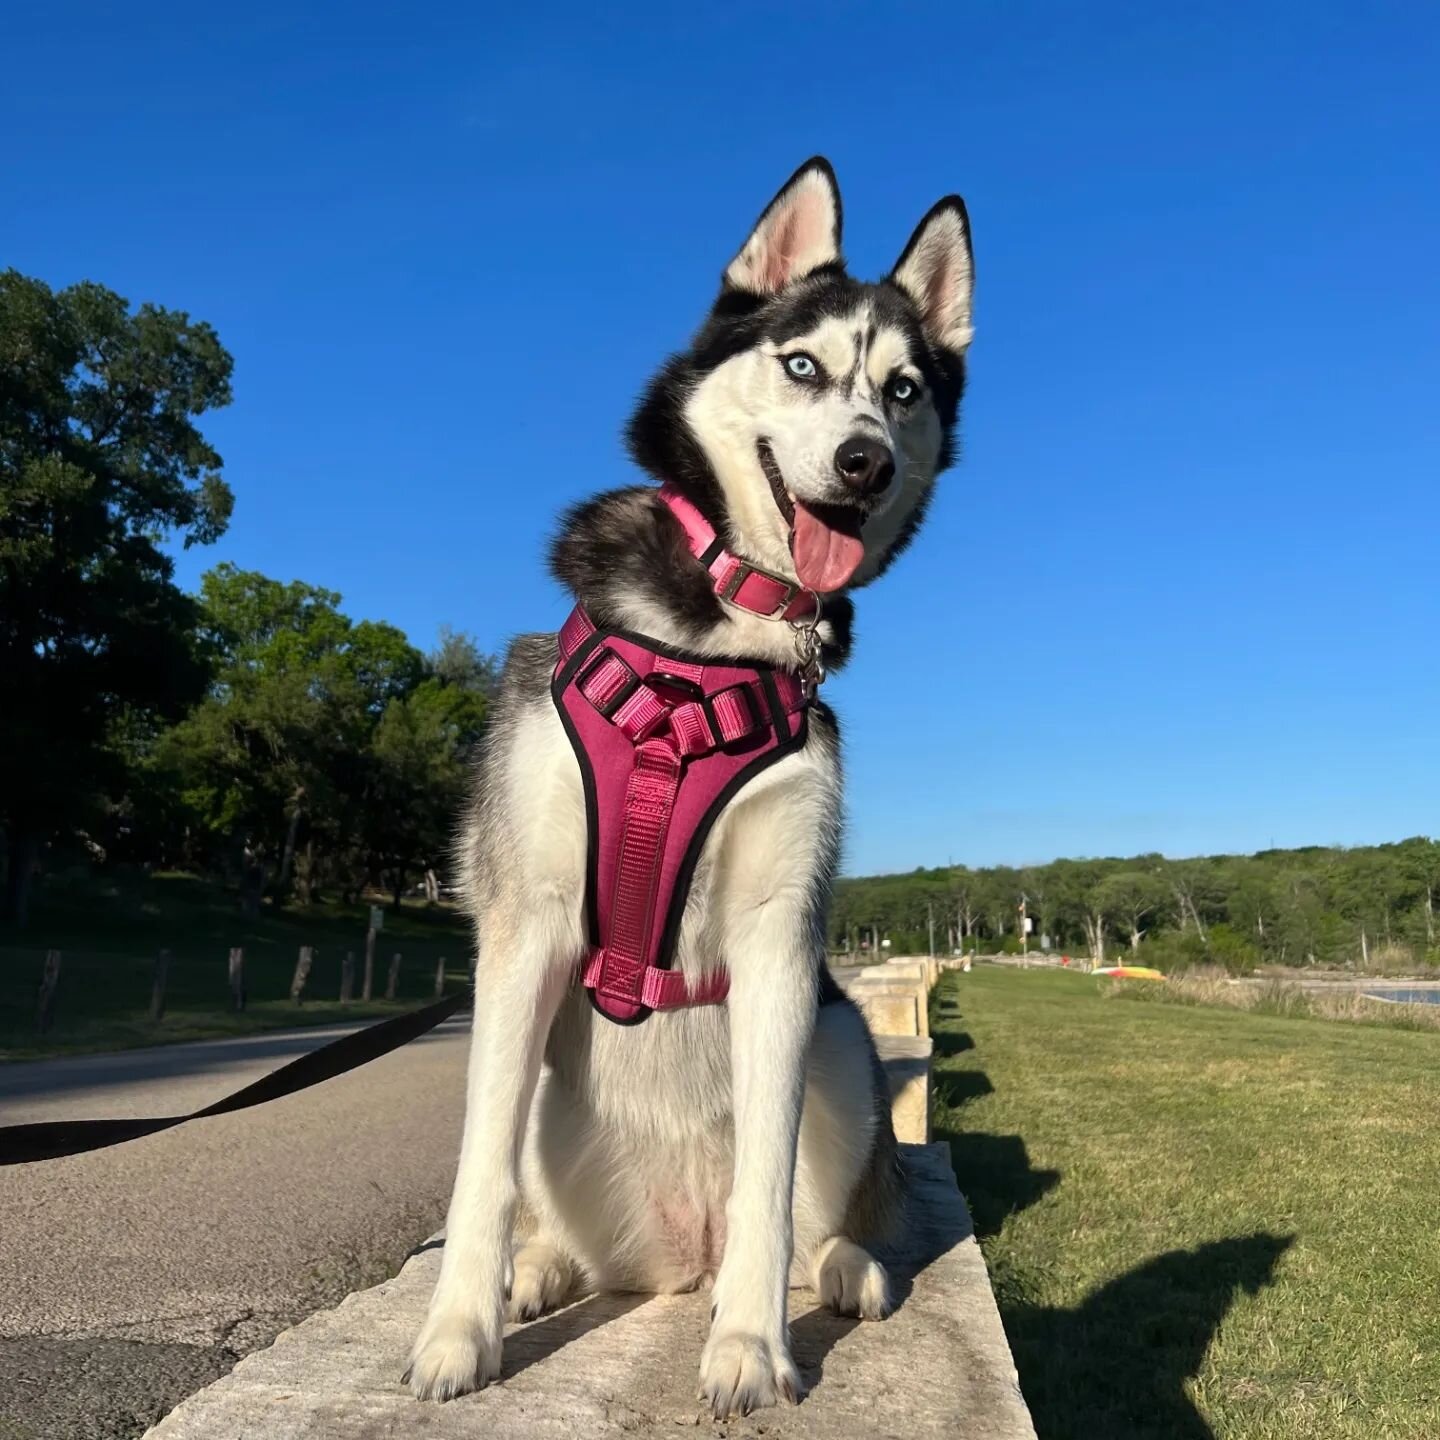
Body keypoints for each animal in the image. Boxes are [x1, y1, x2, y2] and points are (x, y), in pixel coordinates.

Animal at [406, 157, 973, 1416]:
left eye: (905, 390)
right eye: (802, 365)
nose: (864, 460)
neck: (709, 644)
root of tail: (679, 1252)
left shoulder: (778, 940)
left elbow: (769, 1175)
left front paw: (751, 1347)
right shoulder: (524, 928)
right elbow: (474, 1170)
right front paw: (457, 1331)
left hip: (839, 1036)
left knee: (823, 1215)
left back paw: (842, 1269)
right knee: (547, 1204)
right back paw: (541, 1270)